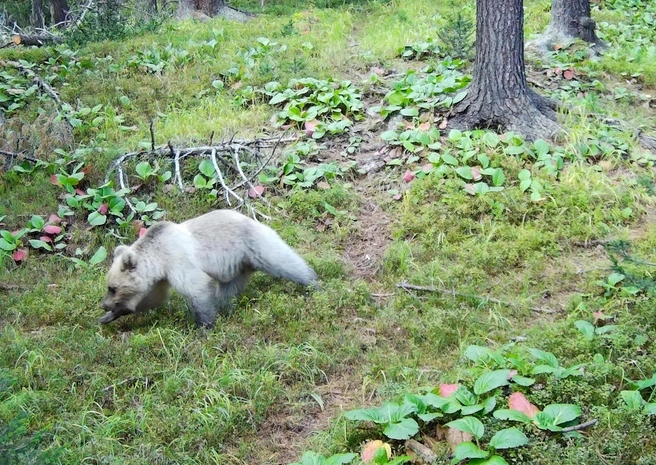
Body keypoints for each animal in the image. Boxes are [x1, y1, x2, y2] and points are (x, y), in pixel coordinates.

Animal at [98, 209, 320, 326]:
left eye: (112, 288)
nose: (104, 304)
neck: (159, 258)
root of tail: (254, 218)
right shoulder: (161, 278)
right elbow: (154, 298)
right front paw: (109, 316)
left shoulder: (178, 260)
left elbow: (196, 287)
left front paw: (204, 326)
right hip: (236, 267)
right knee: (228, 290)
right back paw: (227, 308)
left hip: (254, 244)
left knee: (283, 261)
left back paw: (313, 283)